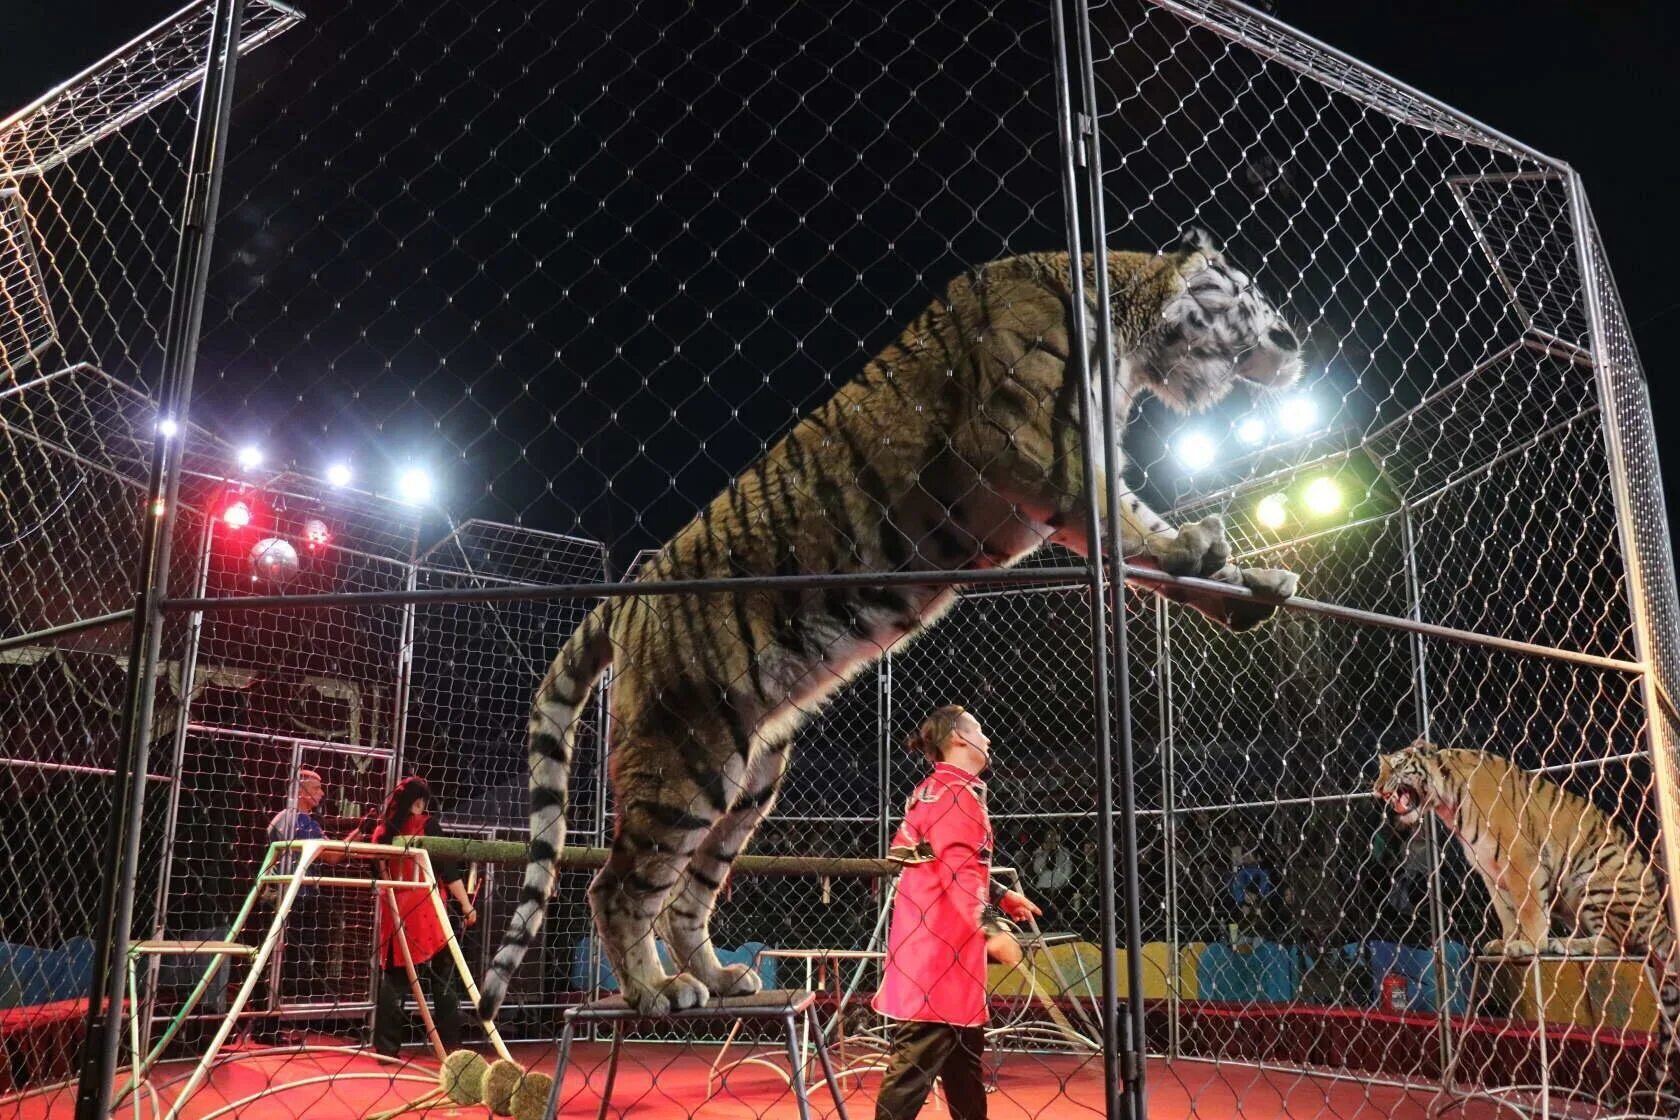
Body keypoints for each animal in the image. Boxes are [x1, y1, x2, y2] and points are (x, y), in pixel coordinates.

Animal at [480, 231, 1303, 1020]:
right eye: (1252, 292)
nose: (1294, 339)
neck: (1135, 329)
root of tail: (628, 594)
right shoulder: (1036, 450)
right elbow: (1126, 521)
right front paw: (1197, 548)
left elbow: (1142, 537)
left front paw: (1248, 584)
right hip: (685, 754)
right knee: (617, 886)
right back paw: (657, 992)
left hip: (749, 772)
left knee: (688, 891)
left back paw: (719, 978)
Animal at [1370, 738, 1673, 1067]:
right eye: (1380, 770)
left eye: (1398, 766)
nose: (1377, 789)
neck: (1447, 801)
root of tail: (1660, 915)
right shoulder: (1490, 871)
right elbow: (1506, 912)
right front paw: (1505, 942)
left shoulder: (1520, 859)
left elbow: (1528, 907)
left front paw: (1528, 943)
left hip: (1596, 876)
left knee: (1617, 943)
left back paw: (1563, 943)